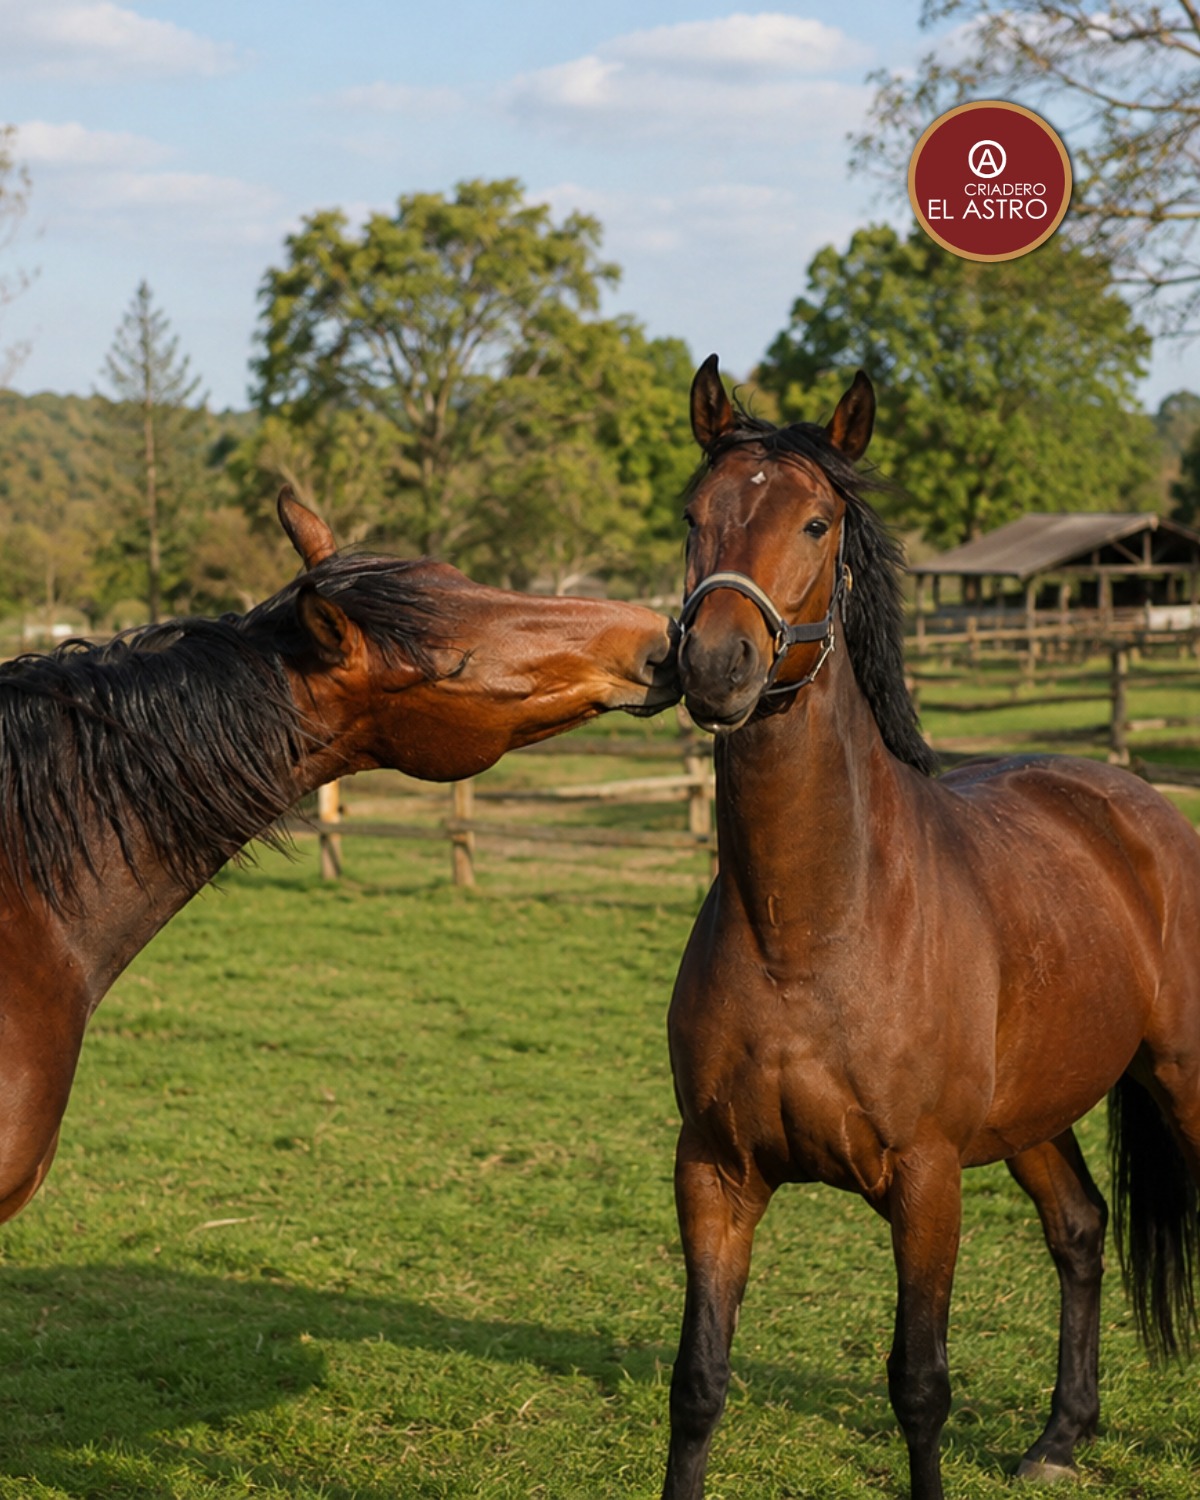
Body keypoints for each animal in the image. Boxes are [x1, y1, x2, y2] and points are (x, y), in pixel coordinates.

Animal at [662, 356, 1200, 1500]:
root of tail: (1139, 807)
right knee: (1079, 1228)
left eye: (817, 522)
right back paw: (1059, 1438)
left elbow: (919, 1386)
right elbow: (698, 1383)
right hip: (1036, 1113)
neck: (810, 933)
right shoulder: (715, 1172)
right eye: (695, 514)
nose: (718, 667)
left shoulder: (926, 1179)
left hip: (1183, 1079)